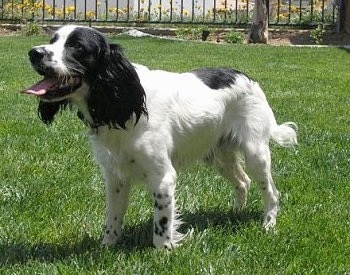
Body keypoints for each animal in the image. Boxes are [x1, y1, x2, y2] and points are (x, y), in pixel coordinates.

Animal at [23, 25, 298, 250]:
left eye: (77, 46)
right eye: (53, 39)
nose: (34, 53)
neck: (125, 105)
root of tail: (249, 78)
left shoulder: (163, 177)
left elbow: (162, 222)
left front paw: (163, 252)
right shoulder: (114, 177)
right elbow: (112, 219)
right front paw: (107, 246)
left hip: (255, 153)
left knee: (271, 193)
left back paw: (268, 224)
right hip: (220, 156)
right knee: (242, 183)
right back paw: (233, 213)